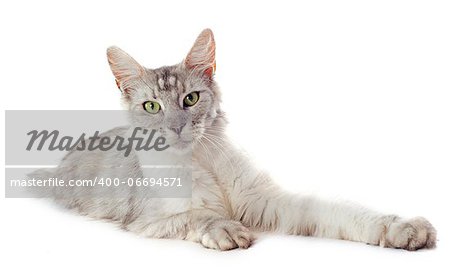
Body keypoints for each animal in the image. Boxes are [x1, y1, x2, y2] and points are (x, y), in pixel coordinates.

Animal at [31, 28, 436, 250]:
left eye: (190, 99)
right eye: (151, 106)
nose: (177, 127)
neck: (202, 160)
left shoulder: (266, 199)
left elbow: (339, 209)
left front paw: (401, 228)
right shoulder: (149, 219)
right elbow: (199, 215)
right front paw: (225, 228)